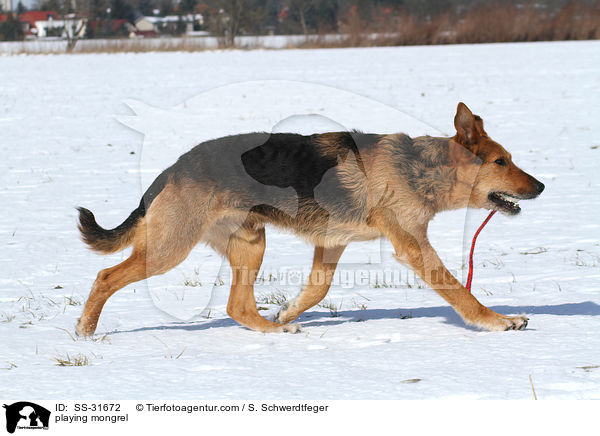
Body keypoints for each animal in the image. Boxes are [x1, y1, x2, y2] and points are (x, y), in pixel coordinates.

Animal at [75, 104, 544, 336]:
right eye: (501, 162)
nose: (540, 187)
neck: (424, 168)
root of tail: (174, 167)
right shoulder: (412, 245)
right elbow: (458, 291)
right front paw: (498, 321)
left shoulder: (332, 242)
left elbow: (318, 289)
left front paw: (287, 313)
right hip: (170, 247)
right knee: (104, 276)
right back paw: (85, 329)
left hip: (250, 243)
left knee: (237, 306)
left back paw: (273, 330)